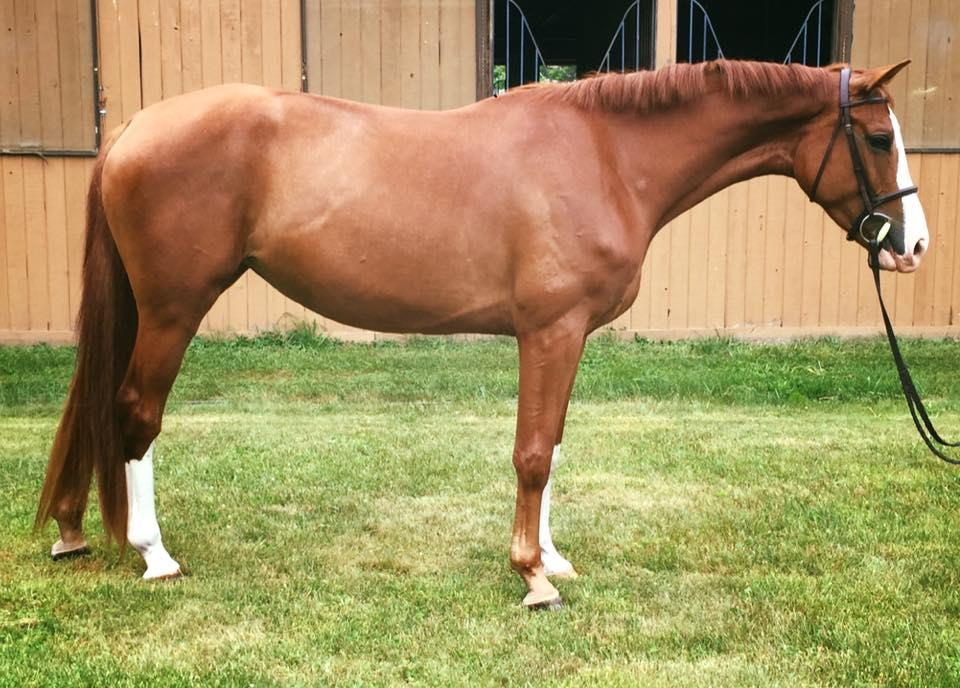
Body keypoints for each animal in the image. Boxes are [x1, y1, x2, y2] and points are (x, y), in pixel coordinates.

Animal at [36, 59, 929, 609]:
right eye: (878, 138)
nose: (914, 247)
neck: (605, 155)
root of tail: (133, 129)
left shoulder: (569, 336)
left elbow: (555, 447)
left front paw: (554, 556)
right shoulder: (551, 330)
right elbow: (532, 452)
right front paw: (534, 578)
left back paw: (75, 532)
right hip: (173, 310)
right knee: (135, 414)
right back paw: (154, 553)